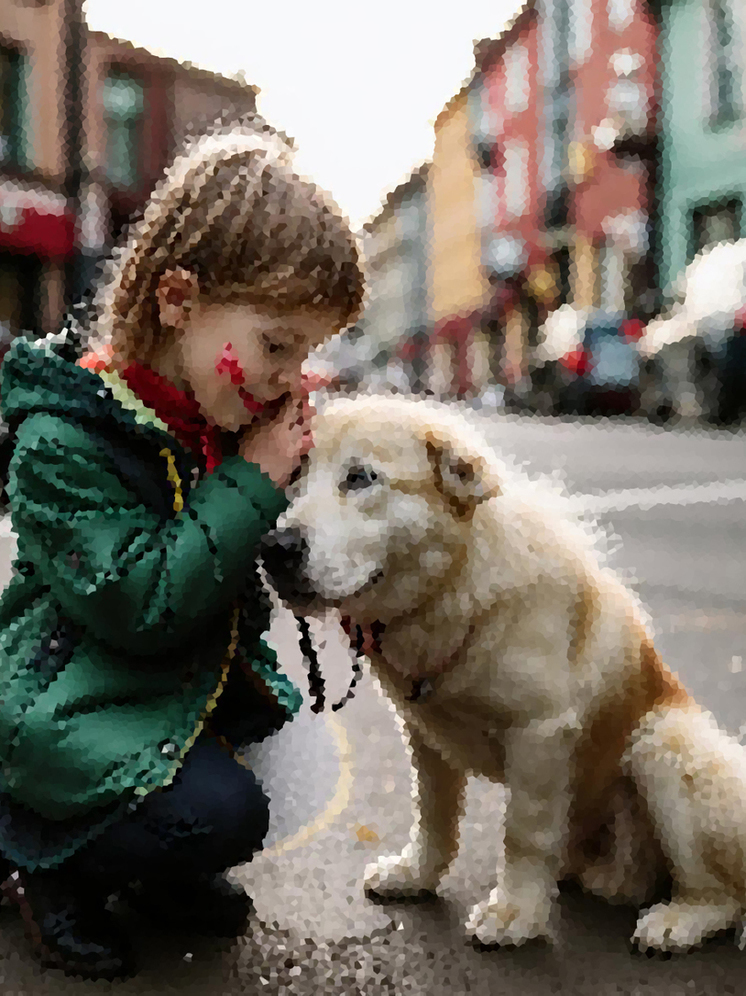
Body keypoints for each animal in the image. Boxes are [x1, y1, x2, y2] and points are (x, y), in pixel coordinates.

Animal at [260, 392, 744, 952]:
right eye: (296, 478)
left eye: (360, 478)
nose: (276, 549)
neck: (454, 590)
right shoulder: (422, 733)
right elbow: (434, 815)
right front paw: (417, 874)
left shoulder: (540, 733)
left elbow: (523, 834)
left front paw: (515, 912)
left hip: (663, 744)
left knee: (722, 893)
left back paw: (677, 920)